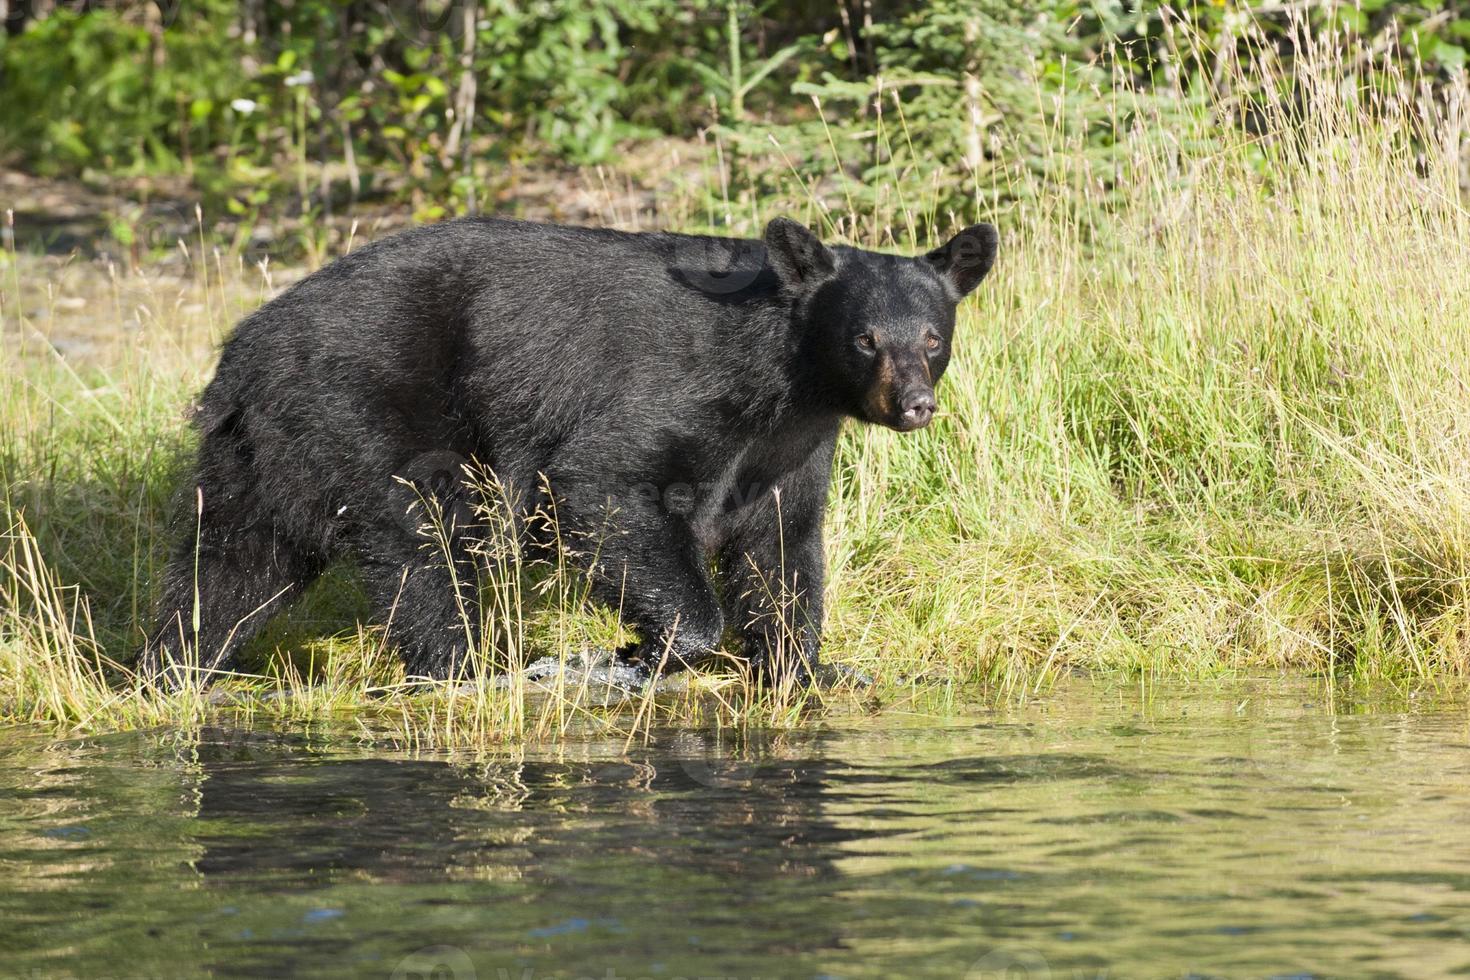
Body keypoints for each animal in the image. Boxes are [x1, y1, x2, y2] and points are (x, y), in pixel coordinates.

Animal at [140, 217, 999, 687]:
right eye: (865, 339)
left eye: (932, 339)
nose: (914, 405)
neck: (786, 374)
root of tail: (242, 355)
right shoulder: (683, 388)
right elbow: (601, 485)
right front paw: (648, 648)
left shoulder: (789, 447)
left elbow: (781, 546)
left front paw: (802, 665)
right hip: (367, 411)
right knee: (424, 547)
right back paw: (468, 669)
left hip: (266, 452)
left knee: (233, 564)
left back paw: (173, 665)